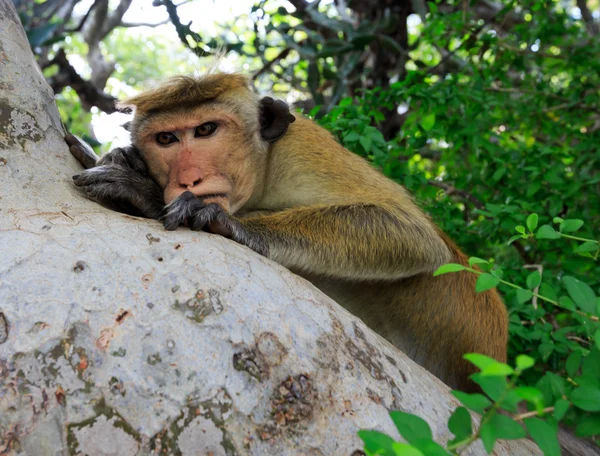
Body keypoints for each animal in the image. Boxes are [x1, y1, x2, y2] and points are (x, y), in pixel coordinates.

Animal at [69, 74, 506, 392]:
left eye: (206, 129)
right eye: (166, 139)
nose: (189, 178)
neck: (263, 175)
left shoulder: (304, 149)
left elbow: (409, 232)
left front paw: (202, 213)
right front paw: (126, 162)